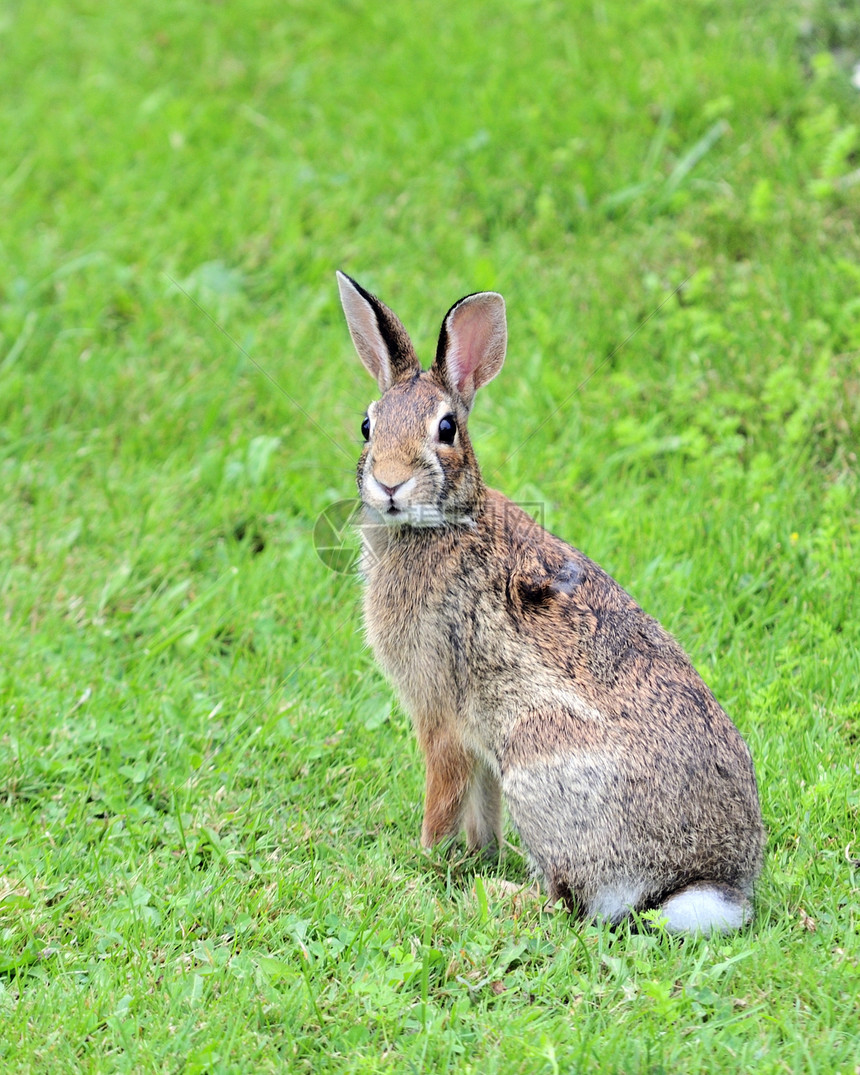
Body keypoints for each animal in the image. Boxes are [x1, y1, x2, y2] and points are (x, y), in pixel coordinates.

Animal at [335, 270, 765, 933]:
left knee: (569, 904)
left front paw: (422, 863)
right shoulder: (476, 744)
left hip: (536, 754)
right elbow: (480, 810)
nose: (388, 483)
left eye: (446, 429)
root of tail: (706, 885)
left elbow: (443, 797)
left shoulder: (441, 717)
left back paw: (498, 896)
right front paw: (478, 855)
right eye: (366, 425)